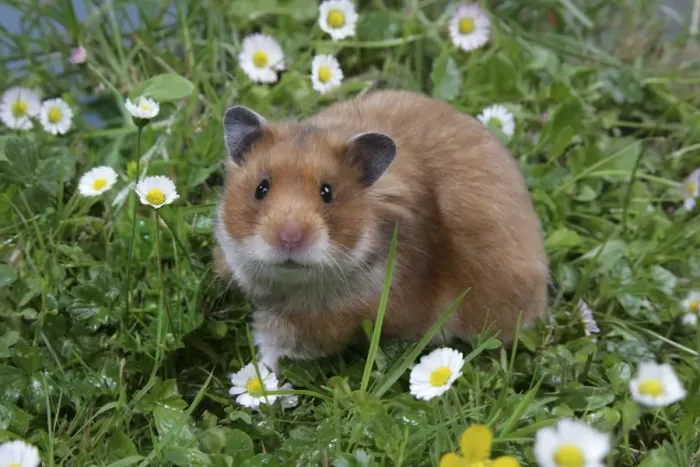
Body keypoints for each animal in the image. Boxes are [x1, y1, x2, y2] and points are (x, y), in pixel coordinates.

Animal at [214, 89, 548, 373]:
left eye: (327, 192)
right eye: (261, 188)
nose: (290, 238)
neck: (292, 284)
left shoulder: (331, 320)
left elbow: (278, 344)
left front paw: (262, 376)